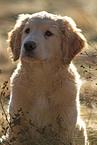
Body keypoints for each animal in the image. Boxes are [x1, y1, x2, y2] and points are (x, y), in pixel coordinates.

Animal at [7, 11, 88, 144]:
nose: (28, 45)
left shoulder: (65, 127)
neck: (41, 75)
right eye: (27, 30)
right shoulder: (17, 123)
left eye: (48, 33)